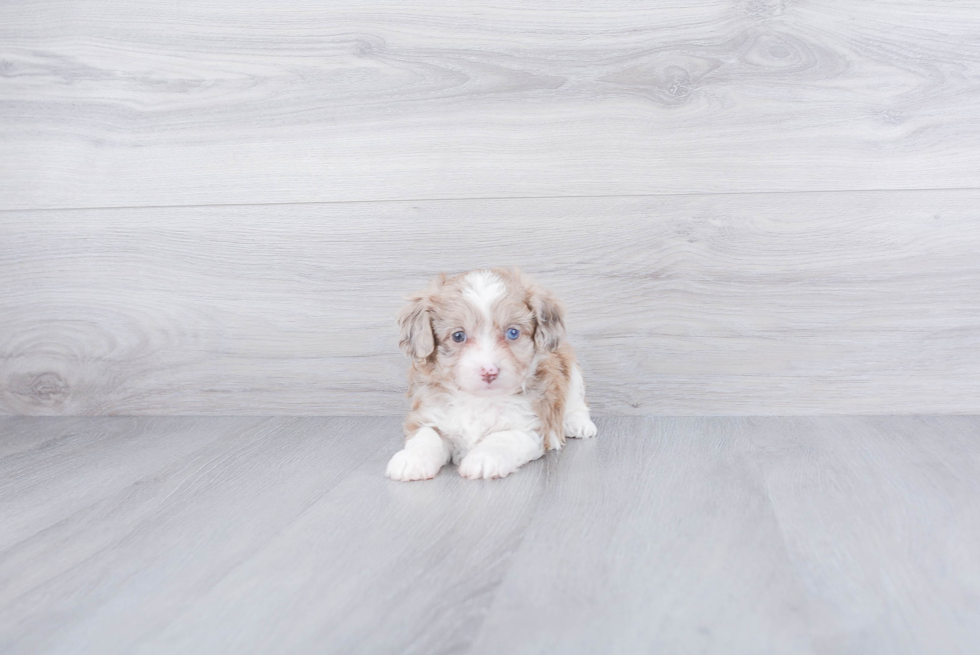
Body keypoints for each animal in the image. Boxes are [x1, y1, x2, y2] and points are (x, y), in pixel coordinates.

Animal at [386, 268, 592, 482]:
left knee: (576, 401)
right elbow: (426, 436)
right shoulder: (428, 415)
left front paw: (484, 457)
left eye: (512, 333)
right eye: (458, 336)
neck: (478, 399)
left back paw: (578, 423)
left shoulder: (530, 426)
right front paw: (412, 459)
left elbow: (502, 437)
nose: (489, 371)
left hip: (569, 366)